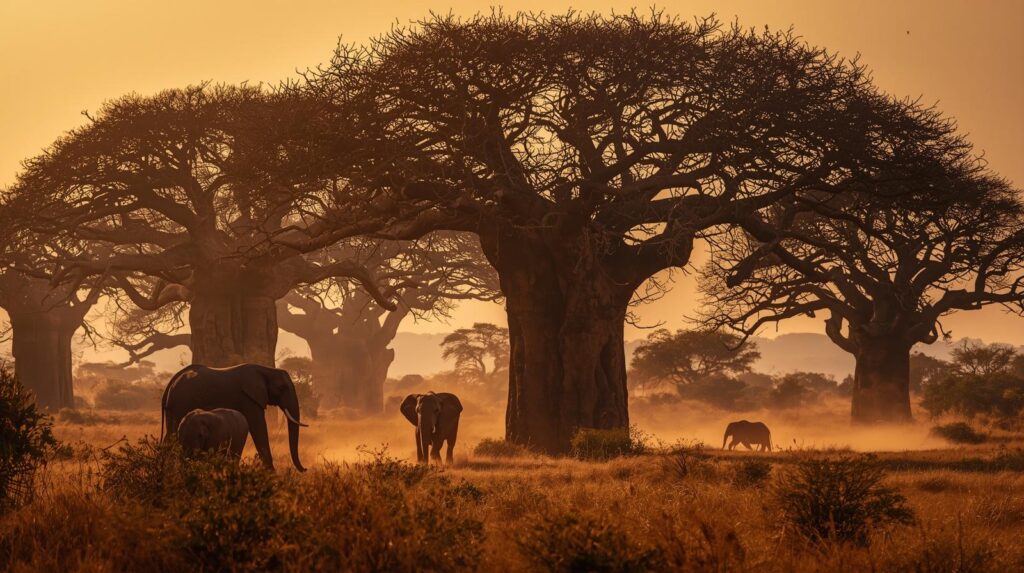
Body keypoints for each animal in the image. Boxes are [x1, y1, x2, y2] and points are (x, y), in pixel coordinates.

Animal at [161, 363, 308, 471]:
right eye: (282, 388)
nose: (305, 469)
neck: (265, 370)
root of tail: (172, 382)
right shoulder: (249, 399)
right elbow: (258, 428)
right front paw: (272, 474)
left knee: (170, 435)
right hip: (180, 403)